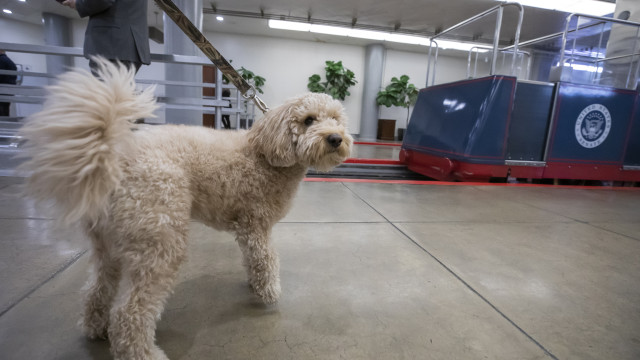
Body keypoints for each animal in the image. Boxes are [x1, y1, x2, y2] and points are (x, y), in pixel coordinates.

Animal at [20, 59, 352, 360]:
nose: (336, 138)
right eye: (308, 120)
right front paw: (268, 291)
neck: (266, 153)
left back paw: (95, 328)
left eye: (336, 119)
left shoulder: (246, 229)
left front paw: (254, 285)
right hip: (160, 243)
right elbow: (265, 260)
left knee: (96, 291)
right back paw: (145, 353)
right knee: (129, 314)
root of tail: (111, 157)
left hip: (109, 248)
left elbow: (252, 260)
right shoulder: (255, 225)